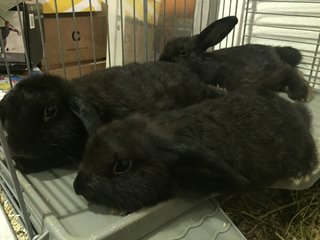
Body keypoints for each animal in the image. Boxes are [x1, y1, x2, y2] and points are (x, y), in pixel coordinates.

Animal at [73, 88, 318, 214]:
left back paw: (302, 174)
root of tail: (297, 112)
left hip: (300, 143)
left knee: (311, 149)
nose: (77, 187)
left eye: (122, 166)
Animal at [159, 15, 312, 101]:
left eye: (183, 52)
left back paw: (299, 93)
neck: (202, 63)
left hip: (275, 71)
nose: (162, 61)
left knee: (292, 71)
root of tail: (274, 49)